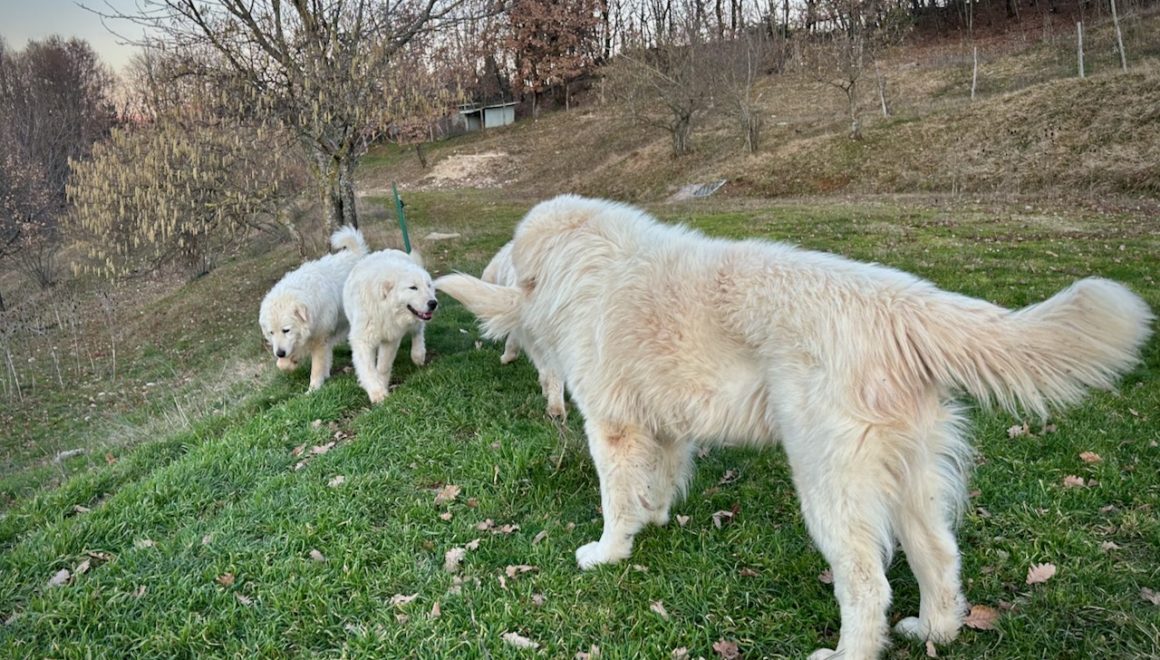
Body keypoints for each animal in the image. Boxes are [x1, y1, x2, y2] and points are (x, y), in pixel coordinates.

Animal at [259, 226, 368, 391]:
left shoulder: (319, 340)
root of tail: (356, 253)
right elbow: (282, 364)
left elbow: (316, 367)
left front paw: (313, 389)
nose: (280, 353)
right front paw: (289, 363)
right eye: (271, 333)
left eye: (286, 330)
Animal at [343, 248, 437, 403]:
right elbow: (368, 369)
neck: (384, 308)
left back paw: (418, 354)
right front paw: (377, 393)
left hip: (414, 322)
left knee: (418, 332)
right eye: (413, 287)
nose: (433, 303)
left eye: (428, 285)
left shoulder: (391, 338)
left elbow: (383, 366)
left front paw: (382, 384)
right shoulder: (363, 340)